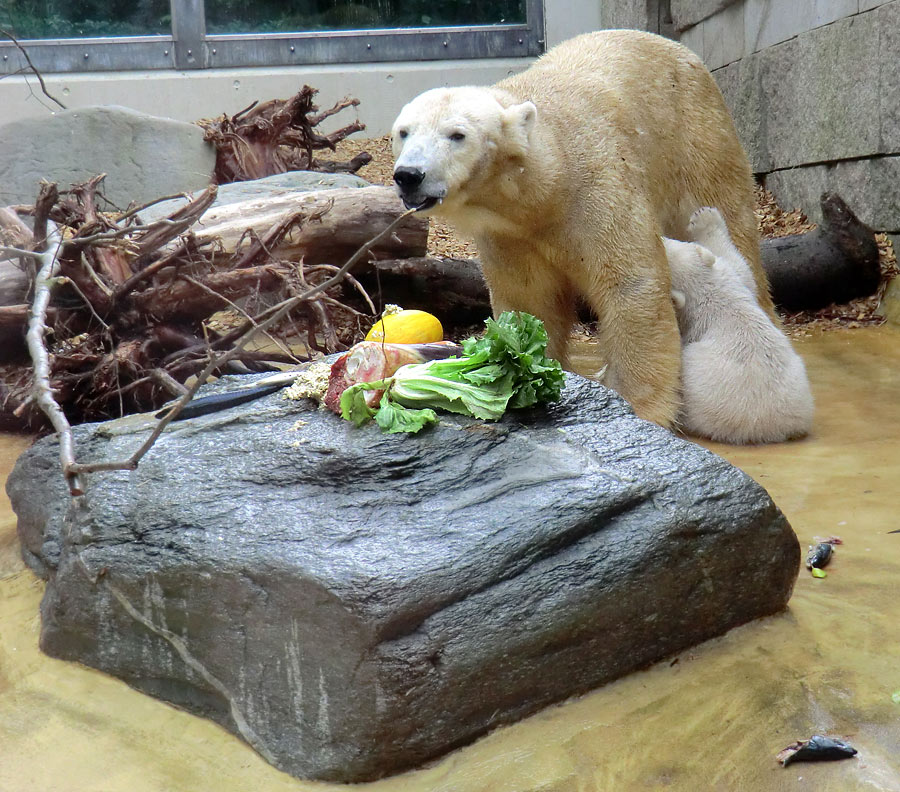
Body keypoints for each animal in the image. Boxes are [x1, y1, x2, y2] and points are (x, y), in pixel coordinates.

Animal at [390, 31, 768, 430]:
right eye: (403, 132)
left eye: (457, 134)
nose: (409, 175)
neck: (549, 184)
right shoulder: (511, 236)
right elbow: (529, 301)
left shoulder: (598, 188)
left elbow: (630, 284)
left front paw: (642, 407)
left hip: (694, 137)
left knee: (728, 217)